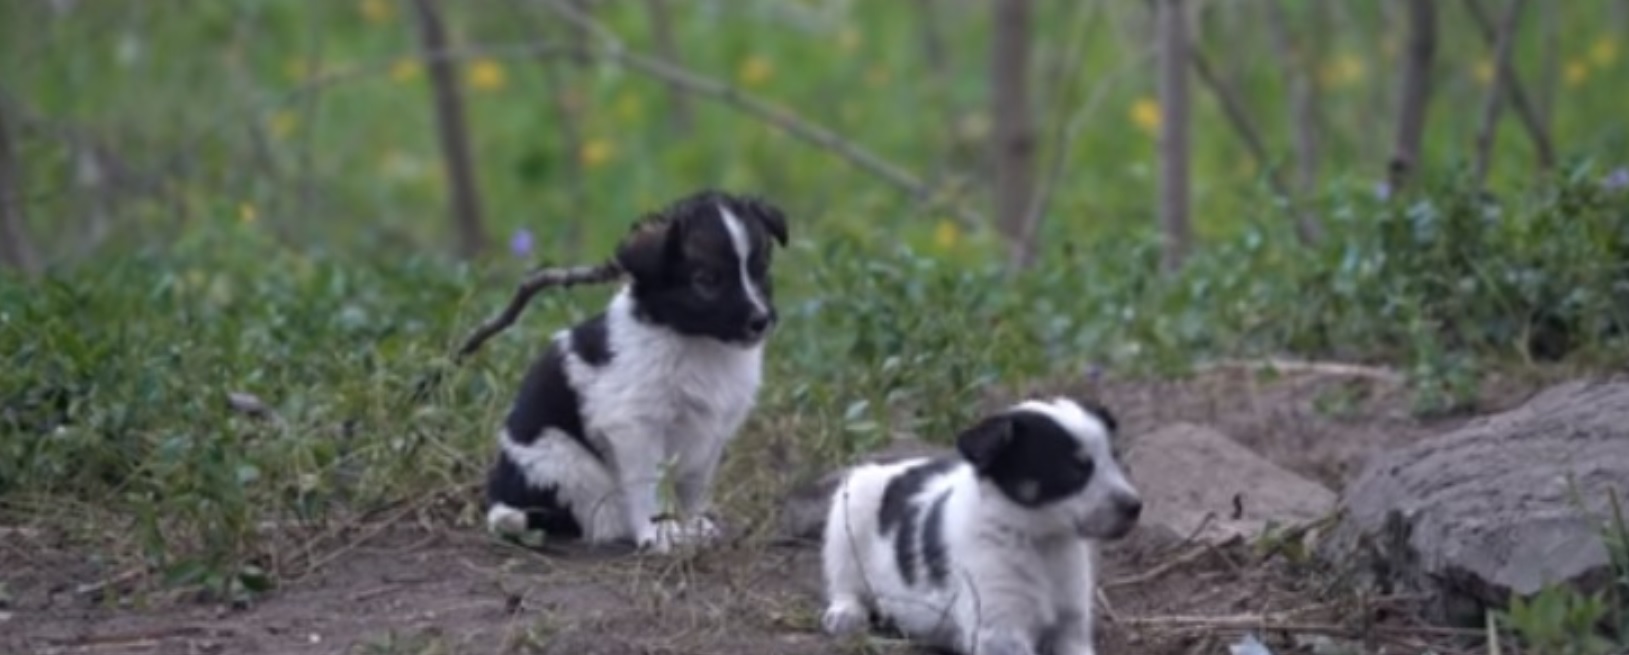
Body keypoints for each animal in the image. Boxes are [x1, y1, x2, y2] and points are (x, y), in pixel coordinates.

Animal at [482, 188, 788, 553]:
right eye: (706, 281)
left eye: (761, 271)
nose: (761, 321)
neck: (694, 340)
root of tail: (501, 496)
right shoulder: (635, 426)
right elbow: (647, 486)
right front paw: (658, 532)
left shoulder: (711, 431)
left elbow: (693, 486)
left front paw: (692, 525)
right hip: (561, 462)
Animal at [821, 394, 1140, 655]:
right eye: (1074, 470)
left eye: (1115, 458)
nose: (1136, 507)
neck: (1037, 539)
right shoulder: (998, 631)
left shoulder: (1071, 625)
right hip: (847, 514)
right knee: (844, 582)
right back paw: (845, 613)